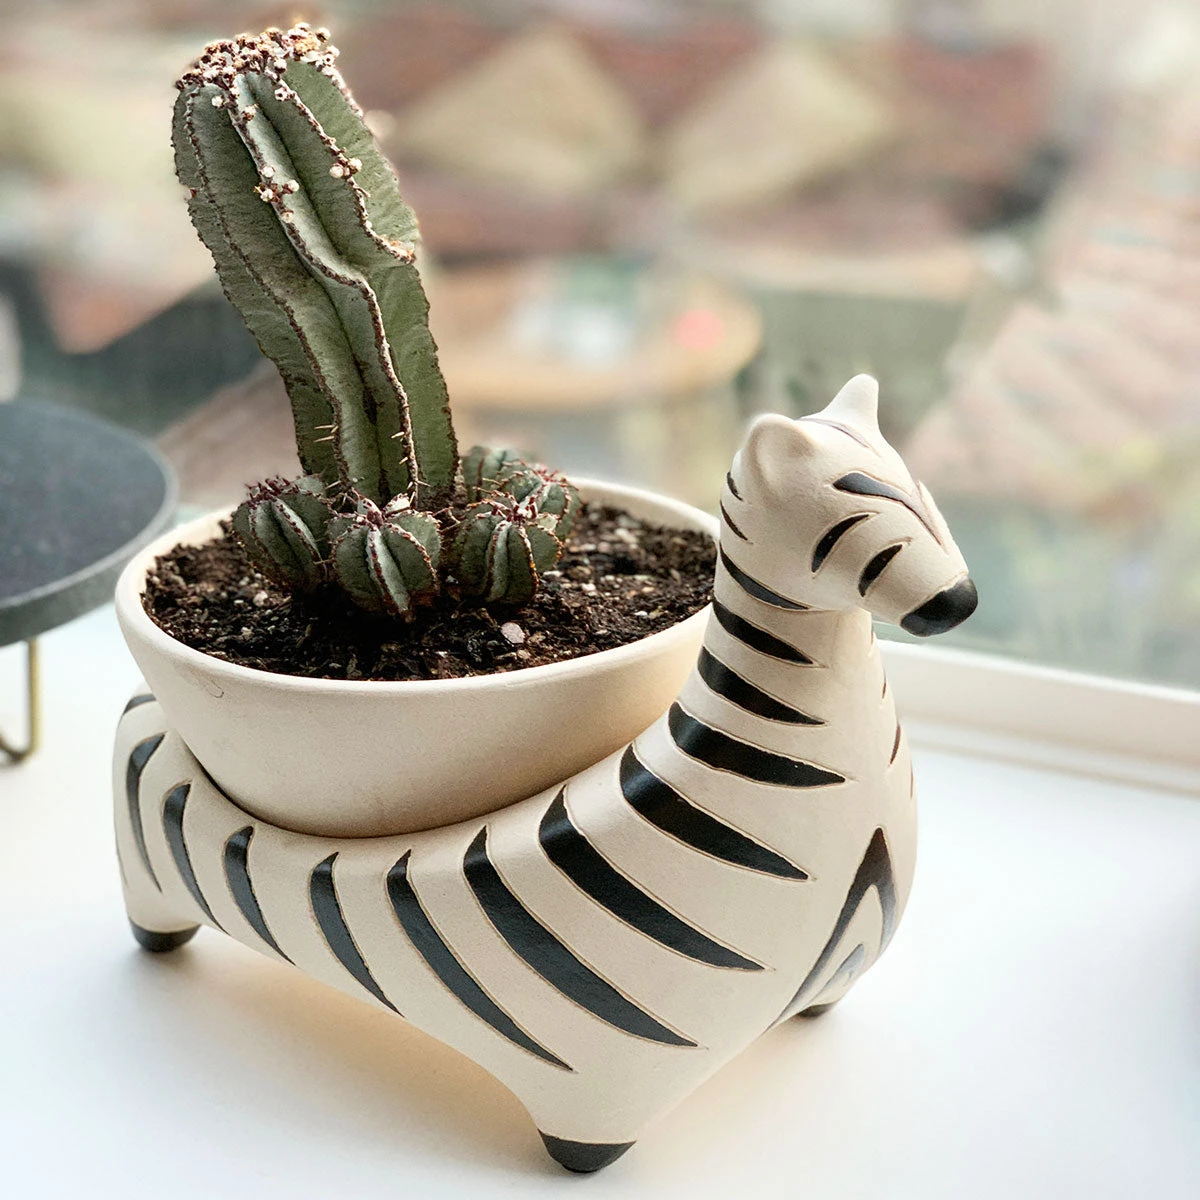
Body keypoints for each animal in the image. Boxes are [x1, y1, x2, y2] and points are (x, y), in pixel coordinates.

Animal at [114, 375, 976, 1173]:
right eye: (867, 512)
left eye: (922, 493)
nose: (959, 603)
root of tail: (145, 718)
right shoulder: (610, 1082)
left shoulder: (827, 973)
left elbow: (822, 995)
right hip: (149, 878)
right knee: (158, 911)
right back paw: (159, 942)